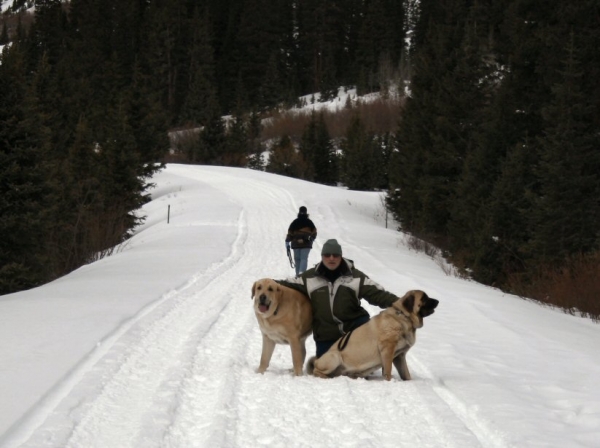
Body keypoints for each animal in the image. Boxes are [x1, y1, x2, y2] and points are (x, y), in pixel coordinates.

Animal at [308, 290, 438, 382]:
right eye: (424, 298)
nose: (437, 301)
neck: (404, 317)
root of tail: (318, 360)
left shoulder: (399, 356)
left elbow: (406, 374)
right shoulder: (387, 349)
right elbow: (388, 370)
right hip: (335, 356)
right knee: (316, 371)